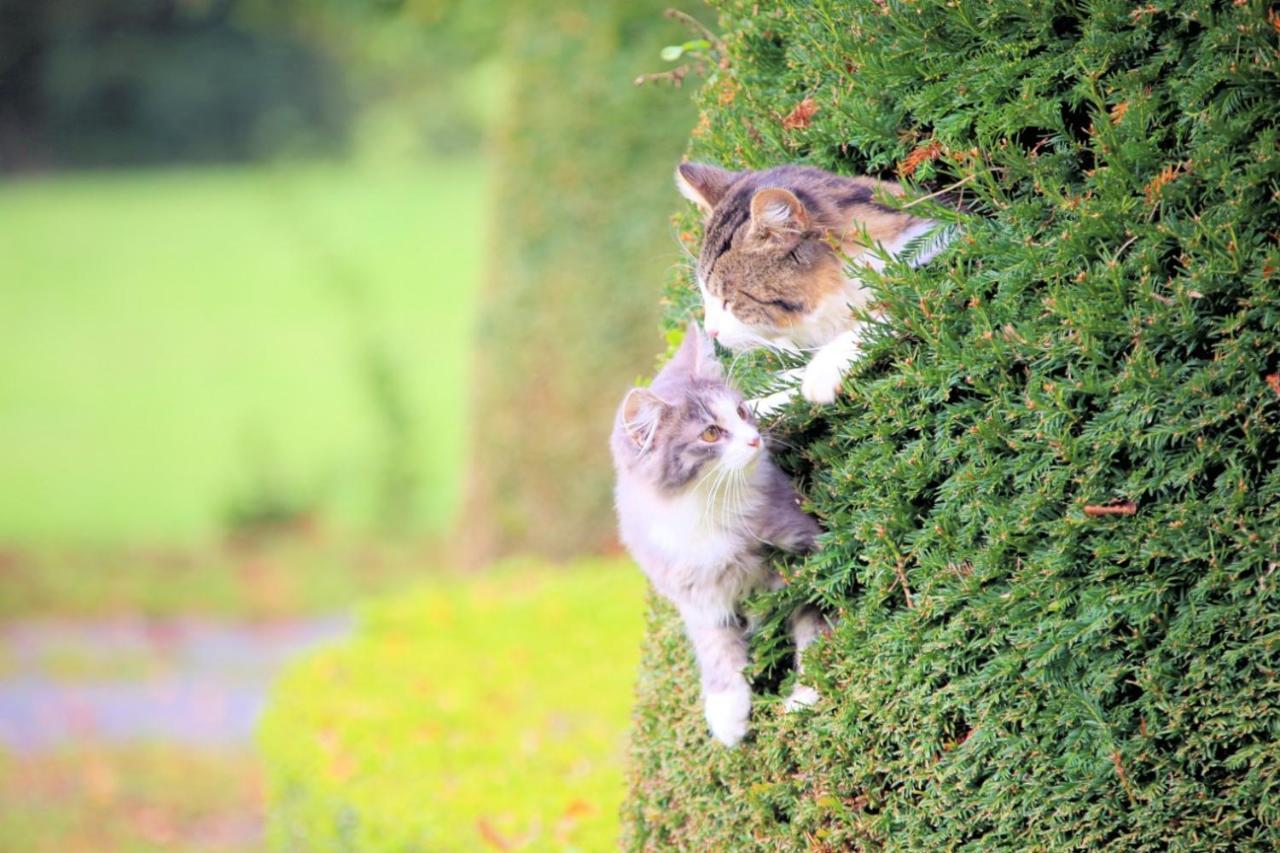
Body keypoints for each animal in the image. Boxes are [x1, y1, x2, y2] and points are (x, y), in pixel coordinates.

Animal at [611, 324, 829, 742]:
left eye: (742, 412)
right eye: (711, 433)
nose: (754, 439)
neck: (702, 509)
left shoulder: (802, 548)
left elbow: (815, 621)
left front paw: (807, 692)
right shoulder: (692, 592)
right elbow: (714, 645)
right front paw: (727, 711)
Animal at [680, 161, 952, 412]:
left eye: (728, 300)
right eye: (705, 295)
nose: (710, 331)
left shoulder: (937, 266)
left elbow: (892, 310)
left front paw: (824, 367)